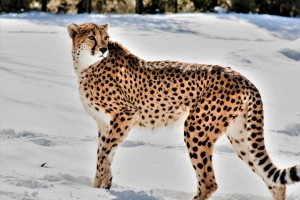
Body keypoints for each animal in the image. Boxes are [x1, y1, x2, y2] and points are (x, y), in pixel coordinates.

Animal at [66, 22, 300, 199]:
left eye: (105, 38)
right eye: (91, 37)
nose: (103, 49)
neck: (86, 66)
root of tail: (242, 78)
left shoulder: (125, 114)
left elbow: (103, 154)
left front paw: (101, 186)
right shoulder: (105, 123)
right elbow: (104, 155)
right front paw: (99, 188)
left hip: (196, 128)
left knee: (209, 182)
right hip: (240, 137)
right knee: (274, 181)